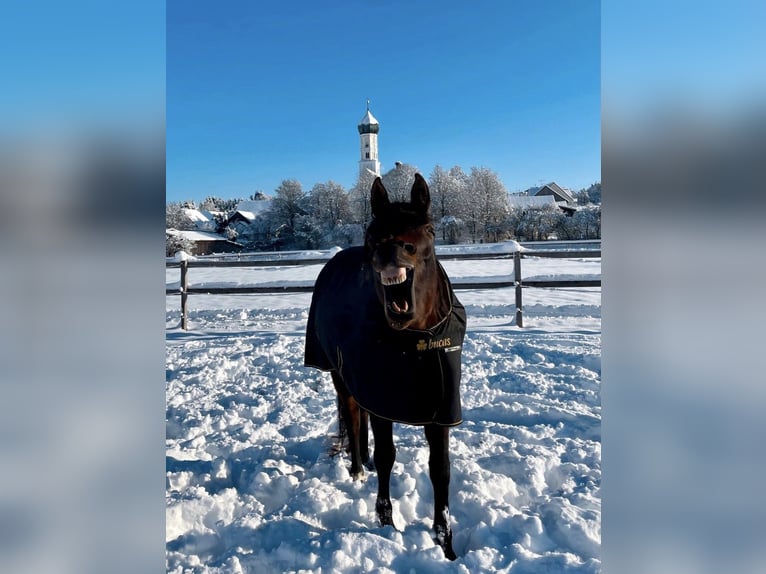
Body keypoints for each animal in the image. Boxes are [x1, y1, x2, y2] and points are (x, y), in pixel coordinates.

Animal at [306, 176, 468, 564]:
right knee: (352, 418)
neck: (418, 343)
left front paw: (446, 545)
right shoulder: (383, 402)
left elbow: (441, 470)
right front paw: (386, 524)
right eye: (373, 231)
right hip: (341, 377)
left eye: (429, 228)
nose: (392, 251)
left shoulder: (440, 410)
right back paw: (356, 471)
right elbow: (386, 457)